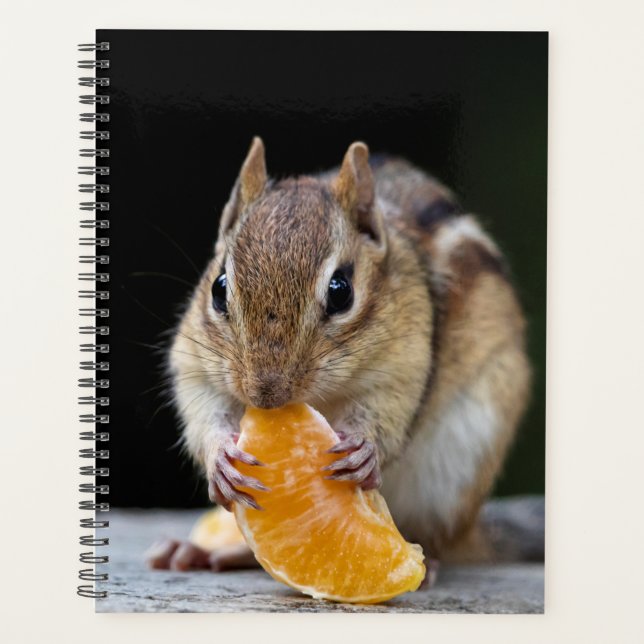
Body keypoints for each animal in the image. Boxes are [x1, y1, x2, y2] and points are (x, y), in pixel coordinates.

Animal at [147, 137, 532, 580]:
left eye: (341, 290)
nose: (265, 394)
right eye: (218, 288)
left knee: (433, 537)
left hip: (454, 474)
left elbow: (388, 409)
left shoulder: (405, 362)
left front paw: (366, 448)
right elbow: (201, 407)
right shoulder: (193, 359)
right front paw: (219, 460)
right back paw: (206, 552)